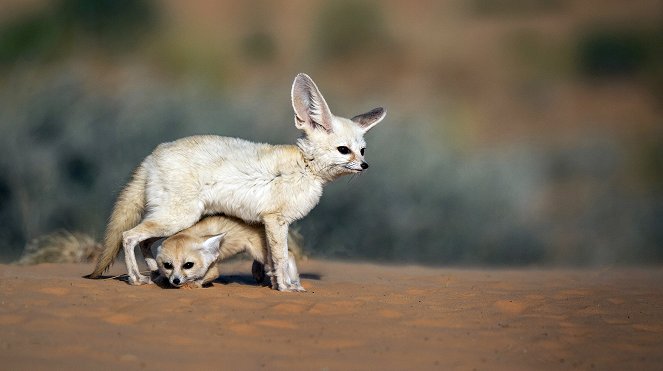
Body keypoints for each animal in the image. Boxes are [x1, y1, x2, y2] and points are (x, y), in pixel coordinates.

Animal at [150, 215, 304, 290]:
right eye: (168, 265)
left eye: (188, 265)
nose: (175, 280)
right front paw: (158, 279)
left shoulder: (213, 269)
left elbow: (201, 279)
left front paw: (192, 284)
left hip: (260, 252)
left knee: (288, 254)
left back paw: (294, 282)